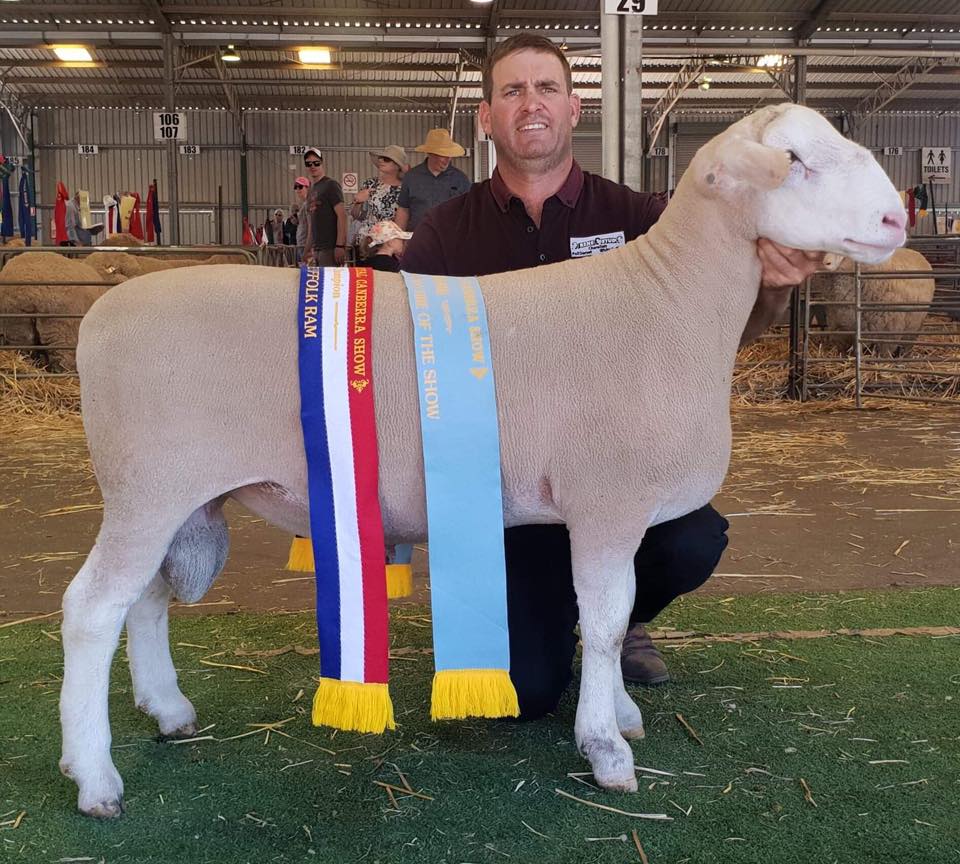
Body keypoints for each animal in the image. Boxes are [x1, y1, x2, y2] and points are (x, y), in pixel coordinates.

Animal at [58, 103, 906, 817]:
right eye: (794, 158)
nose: (897, 217)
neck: (668, 304)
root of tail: (97, 320)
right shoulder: (607, 499)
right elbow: (604, 623)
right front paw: (605, 748)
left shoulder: (613, 512)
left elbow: (614, 617)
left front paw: (622, 714)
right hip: (146, 486)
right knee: (92, 610)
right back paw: (94, 777)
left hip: (178, 497)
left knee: (146, 599)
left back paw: (168, 711)